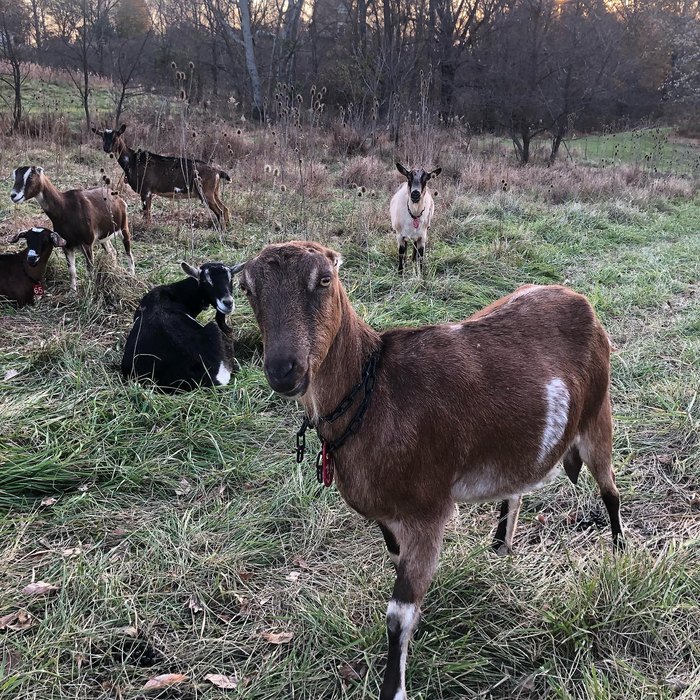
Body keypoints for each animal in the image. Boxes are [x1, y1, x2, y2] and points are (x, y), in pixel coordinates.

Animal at [91, 124, 230, 226]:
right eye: (102, 137)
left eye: (115, 137)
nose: (106, 148)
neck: (133, 161)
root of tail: (217, 172)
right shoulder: (149, 192)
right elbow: (148, 213)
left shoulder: (146, 189)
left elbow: (146, 213)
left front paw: (147, 228)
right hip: (214, 192)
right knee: (225, 208)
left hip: (205, 192)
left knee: (220, 211)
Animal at [239, 241, 624, 700]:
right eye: (247, 289)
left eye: (325, 280)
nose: (284, 370)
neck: (375, 392)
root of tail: (578, 299)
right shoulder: (389, 517)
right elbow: (398, 569)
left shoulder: (428, 510)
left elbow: (397, 616)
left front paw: (394, 687)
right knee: (516, 487)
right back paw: (500, 546)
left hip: (598, 412)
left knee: (610, 490)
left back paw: (619, 552)